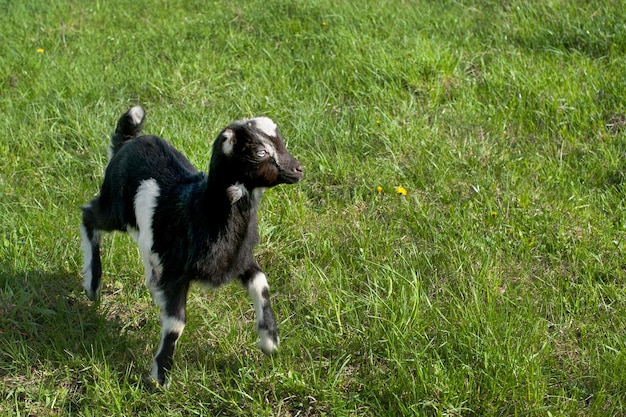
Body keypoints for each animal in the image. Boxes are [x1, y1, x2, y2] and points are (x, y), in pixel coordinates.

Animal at [79, 105, 304, 386]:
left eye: (281, 141)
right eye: (259, 152)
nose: (298, 169)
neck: (201, 210)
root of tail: (127, 142)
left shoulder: (239, 259)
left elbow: (261, 283)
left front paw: (269, 341)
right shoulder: (177, 270)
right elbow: (176, 323)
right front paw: (160, 377)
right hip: (116, 209)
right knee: (89, 215)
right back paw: (93, 284)